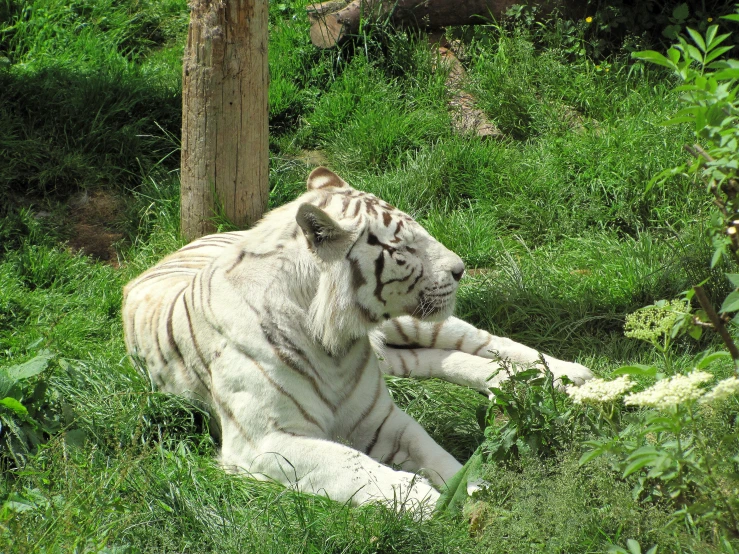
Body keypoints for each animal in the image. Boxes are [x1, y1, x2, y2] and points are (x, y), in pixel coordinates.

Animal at [123, 166, 596, 516]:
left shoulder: (380, 417)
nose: (461, 269)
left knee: (484, 341)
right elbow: (356, 467)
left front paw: (471, 488)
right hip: (400, 354)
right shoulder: (266, 441)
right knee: (444, 359)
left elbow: (435, 453)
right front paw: (436, 504)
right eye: (403, 248)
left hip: (412, 325)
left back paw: (572, 376)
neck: (336, 344)